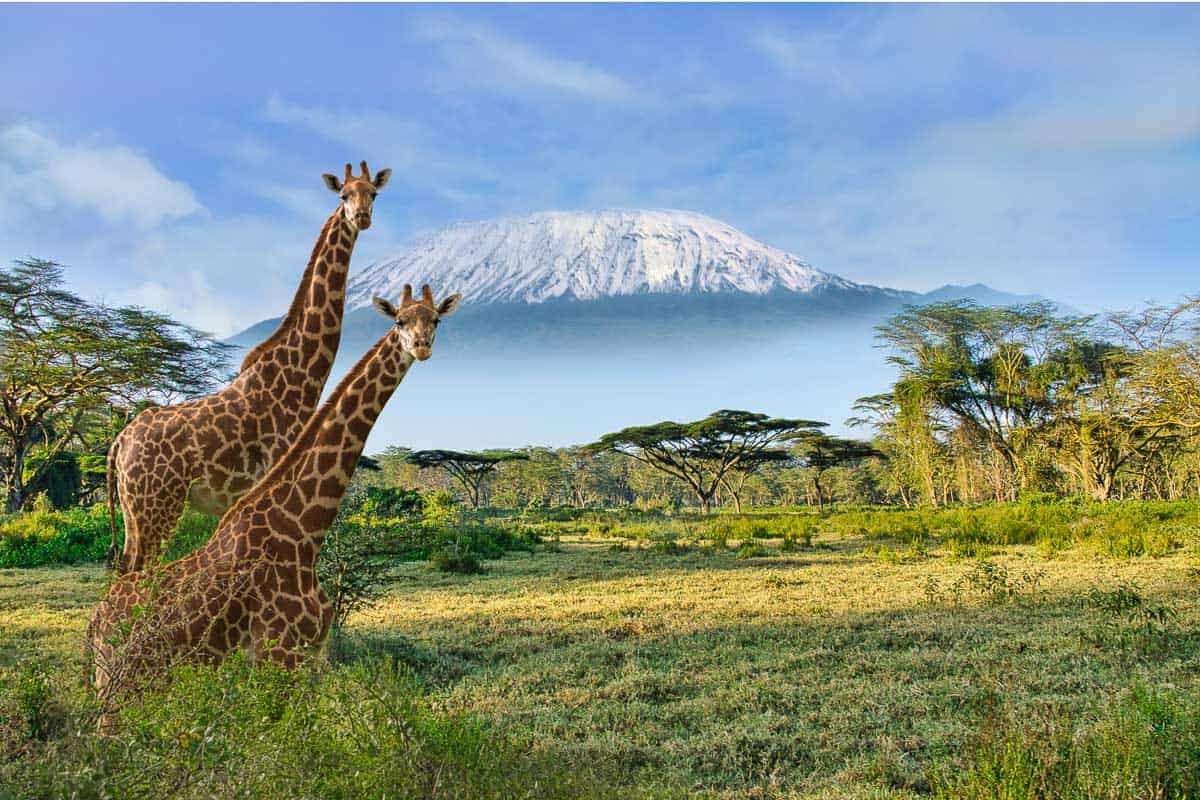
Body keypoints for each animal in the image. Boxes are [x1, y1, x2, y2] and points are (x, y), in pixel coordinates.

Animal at [88, 287, 460, 719]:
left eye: (435, 320)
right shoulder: (278, 655)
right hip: (121, 684)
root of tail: (95, 625)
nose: (422, 347)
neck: (304, 528)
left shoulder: (310, 658)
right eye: (401, 321)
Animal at [105, 163, 391, 575]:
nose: (362, 217)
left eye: (374, 194)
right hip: (155, 505)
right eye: (343, 196)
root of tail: (119, 443)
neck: (299, 378)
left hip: (135, 510)